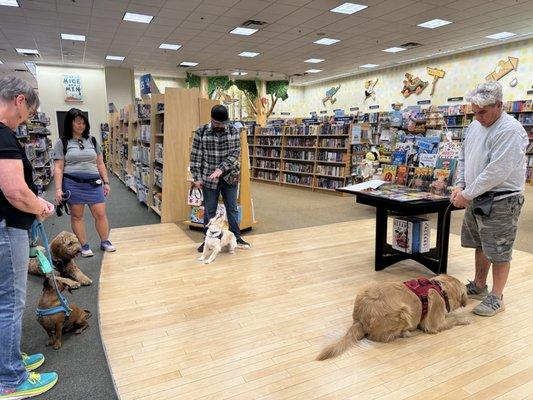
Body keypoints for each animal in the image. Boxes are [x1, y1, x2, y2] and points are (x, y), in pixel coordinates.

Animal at [318, 274, 468, 360]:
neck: (441, 289)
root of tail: (360, 319)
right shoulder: (434, 325)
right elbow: (453, 319)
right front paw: (464, 319)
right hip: (404, 311)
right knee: (379, 337)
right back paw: (404, 333)